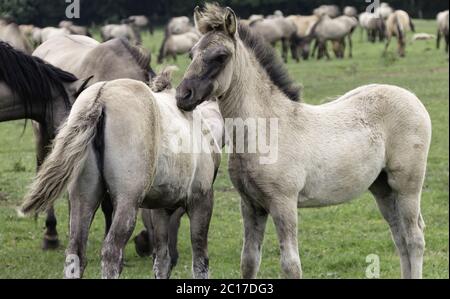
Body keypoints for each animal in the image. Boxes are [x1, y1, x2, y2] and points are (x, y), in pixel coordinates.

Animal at [21, 78, 225, 280]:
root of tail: (100, 98)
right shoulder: (201, 199)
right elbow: (200, 261)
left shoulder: (160, 207)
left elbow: (162, 261)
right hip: (128, 201)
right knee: (111, 251)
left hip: (82, 198)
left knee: (75, 252)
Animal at [175, 3, 428, 280]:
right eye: (191, 54)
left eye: (221, 56)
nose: (183, 95)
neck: (266, 130)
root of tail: (413, 98)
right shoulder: (250, 205)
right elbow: (249, 260)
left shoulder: (284, 203)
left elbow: (291, 265)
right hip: (383, 187)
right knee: (400, 237)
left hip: (407, 185)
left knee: (414, 238)